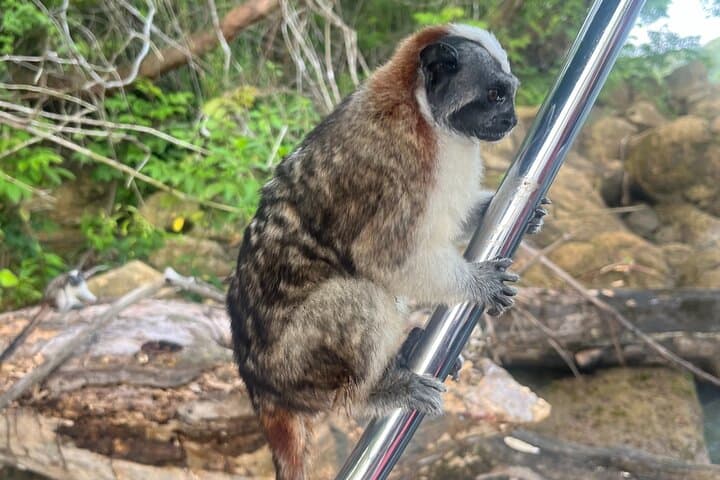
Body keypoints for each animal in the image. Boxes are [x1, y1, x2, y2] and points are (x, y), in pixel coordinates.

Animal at [226, 24, 547, 480]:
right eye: (495, 96)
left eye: (509, 96)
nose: (513, 120)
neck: (423, 111)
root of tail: (259, 386)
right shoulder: (405, 164)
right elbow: (382, 258)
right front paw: (477, 284)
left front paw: (518, 213)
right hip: (296, 368)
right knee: (361, 296)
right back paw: (372, 394)